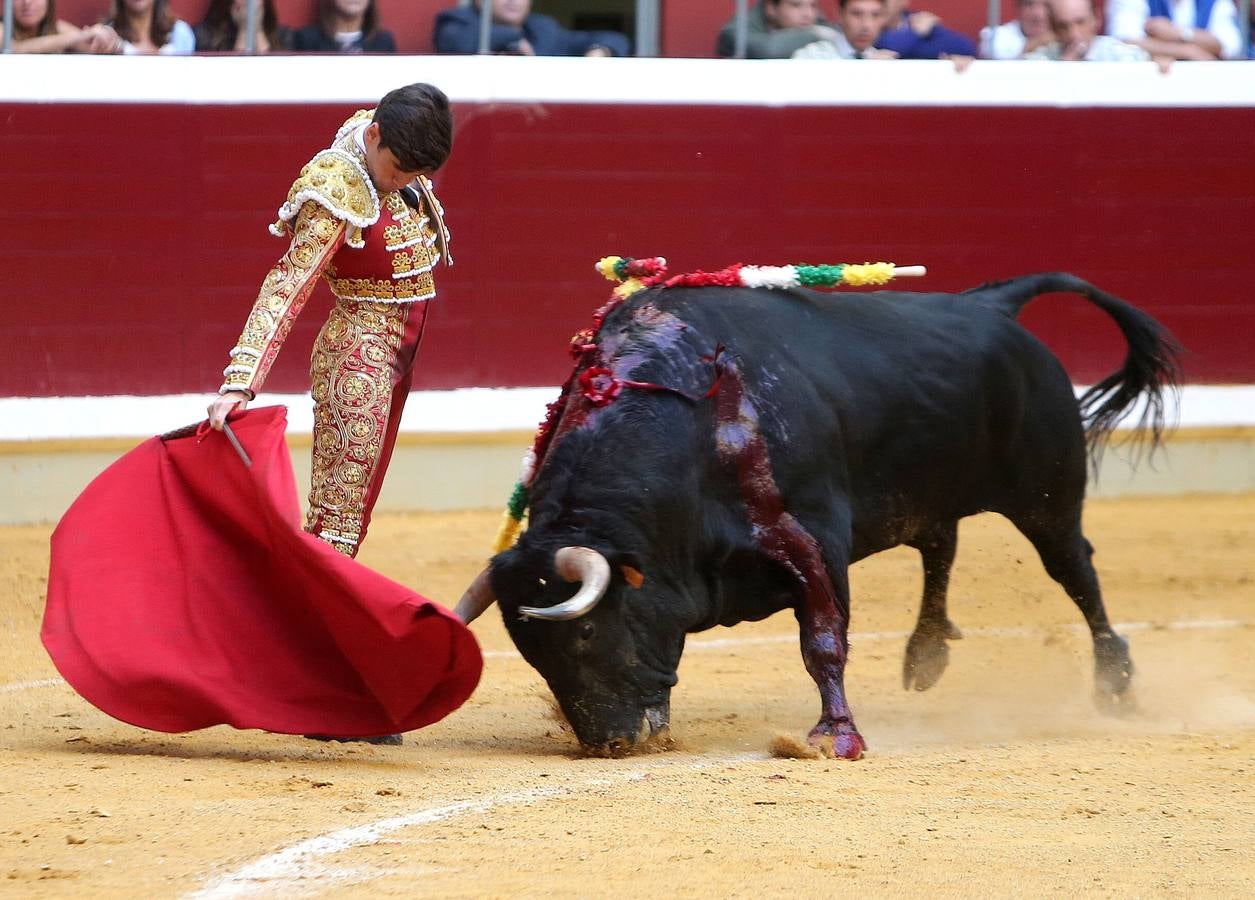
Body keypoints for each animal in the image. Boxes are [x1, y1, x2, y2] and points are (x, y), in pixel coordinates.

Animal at [459, 272, 1174, 758]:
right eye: (528, 652)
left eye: (583, 632)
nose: (611, 742)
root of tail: (989, 303)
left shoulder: (812, 541)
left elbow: (823, 641)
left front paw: (835, 737)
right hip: (933, 494)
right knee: (940, 544)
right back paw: (926, 656)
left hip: (1048, 496)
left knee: (1075, 570)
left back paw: (1116, 684)